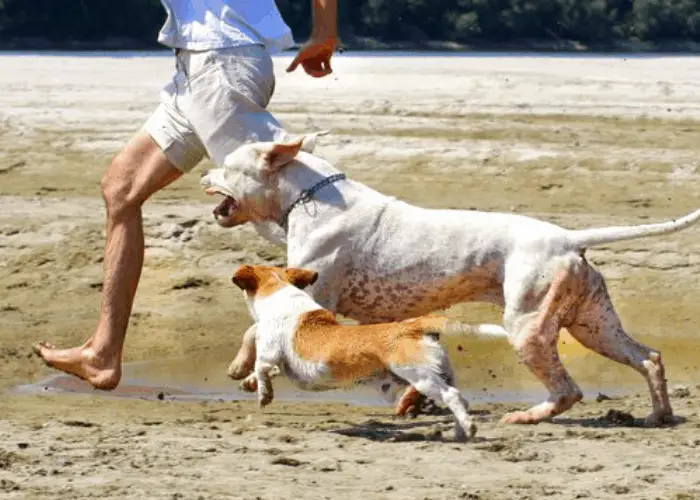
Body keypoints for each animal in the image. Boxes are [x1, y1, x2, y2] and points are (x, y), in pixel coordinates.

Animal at [230, 264, 508, 440]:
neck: (280, 294)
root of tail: (412, 325)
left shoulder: (269, 352)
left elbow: (262, 367)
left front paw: (263, 394)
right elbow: (263, 371)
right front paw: (248, 382)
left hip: (421, 377)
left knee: (452, 396)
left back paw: (468, 428)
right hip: (438, 373)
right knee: (461, 399)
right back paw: (461, 432)